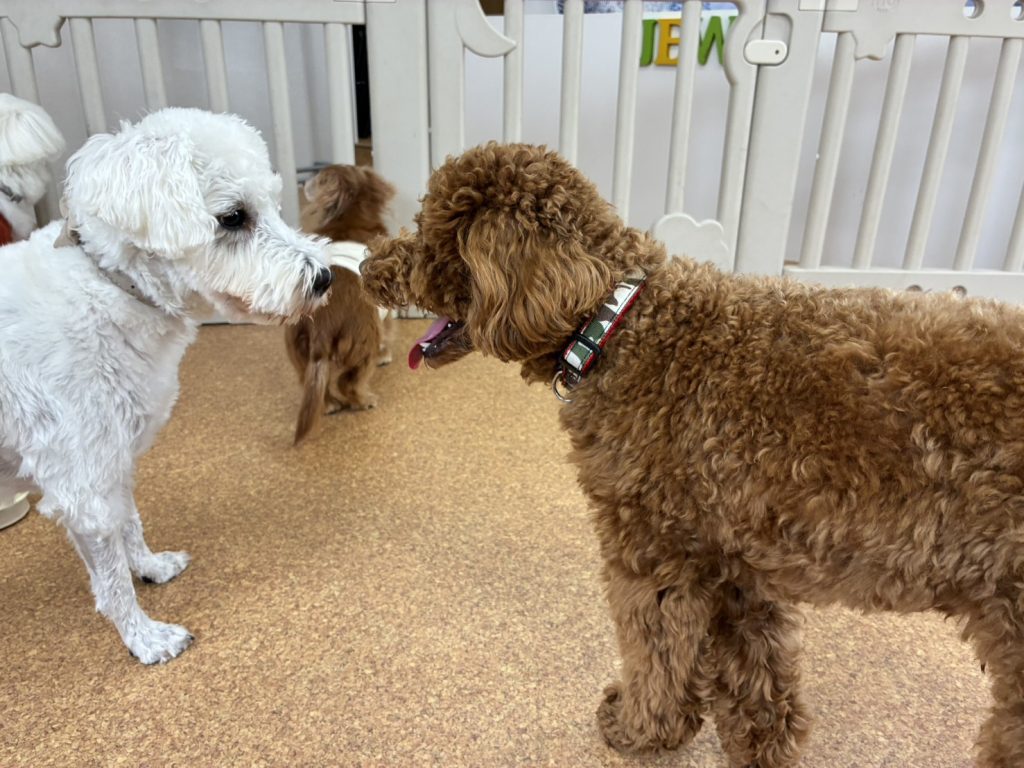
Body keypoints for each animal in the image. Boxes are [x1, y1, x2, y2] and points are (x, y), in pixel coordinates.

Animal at [286, 164, 395, 444]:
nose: (305, 181)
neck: (349, 216)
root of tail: (321, 324)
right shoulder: (387, 313)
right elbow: (389, 334)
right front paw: (386, 355)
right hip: (364, 344)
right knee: (350, 382)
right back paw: (365, 400)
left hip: (300, 352)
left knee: (314, 384)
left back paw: (331, 405)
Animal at [361, 142, 1024, 767]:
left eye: (429, 234)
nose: (367, 266)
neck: (615, 326)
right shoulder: (736, 563)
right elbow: (756, 674)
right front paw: (758, 745)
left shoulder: (654, 553)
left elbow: (655, 656)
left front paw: (639, 731)